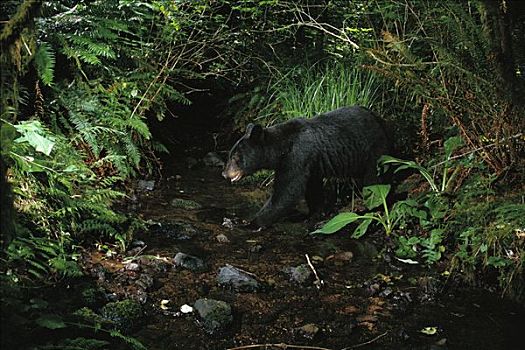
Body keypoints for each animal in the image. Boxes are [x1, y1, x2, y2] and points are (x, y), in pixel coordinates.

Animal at [221, 105, 388, 228]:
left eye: (235, 157)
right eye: (230, 155)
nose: (224, 173)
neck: (281, 148)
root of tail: (381, 120)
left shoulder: (297, 157)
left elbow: (287, 191)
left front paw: (250, 223)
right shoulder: (312, 165)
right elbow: (312, 188)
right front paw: (314, 213)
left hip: (374, 151)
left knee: (374, 181)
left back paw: (373, 208)